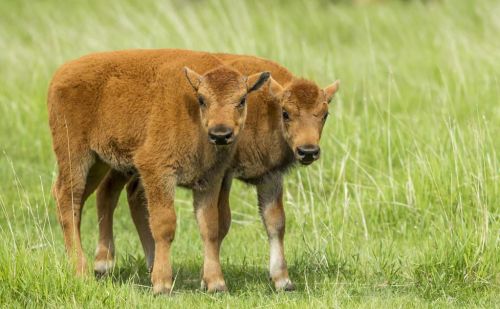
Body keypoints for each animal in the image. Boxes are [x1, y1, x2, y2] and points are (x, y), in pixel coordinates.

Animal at [47, 48, 270, 294]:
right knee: (67, 199)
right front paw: (162, 284)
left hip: (98, 162)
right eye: (202, 99)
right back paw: (81, 272)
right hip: (75, 156)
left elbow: (210, 226)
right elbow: (165, 225)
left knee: (85, 199)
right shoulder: (157, 171)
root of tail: (60, 75)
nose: (220, 134)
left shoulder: (209, 180)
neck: (192, 112)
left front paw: (216, 284)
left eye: (242, 100)